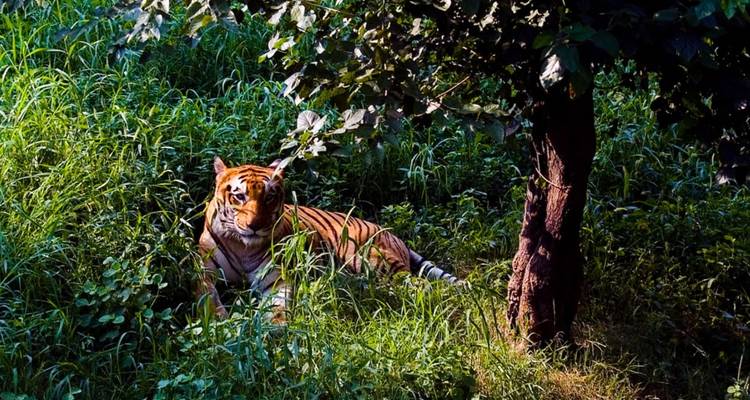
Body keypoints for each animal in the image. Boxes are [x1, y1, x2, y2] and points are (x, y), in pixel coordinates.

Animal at [197, 157, 462, 319]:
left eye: (270, 197)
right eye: (239, 196)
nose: (255, 226)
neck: (244, 247)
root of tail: (393, 234)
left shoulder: (276, 279)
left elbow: (278, 306)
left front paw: (274, 330)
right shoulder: (203, 271)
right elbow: (208, 299)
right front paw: (221, 323)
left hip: (367, 258)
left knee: (421, 285)